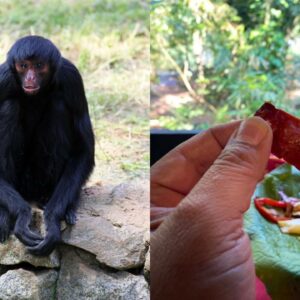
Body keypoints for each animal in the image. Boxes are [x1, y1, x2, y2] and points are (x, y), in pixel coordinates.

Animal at [0, 35, 94, 255]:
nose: (30, 78)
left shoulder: (71, 78)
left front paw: (51, 222)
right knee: (9, 106)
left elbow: (84, 150)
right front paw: (22, 216)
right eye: (23, 66)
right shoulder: (2, 78)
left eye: (39, 66)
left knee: (58, 104)